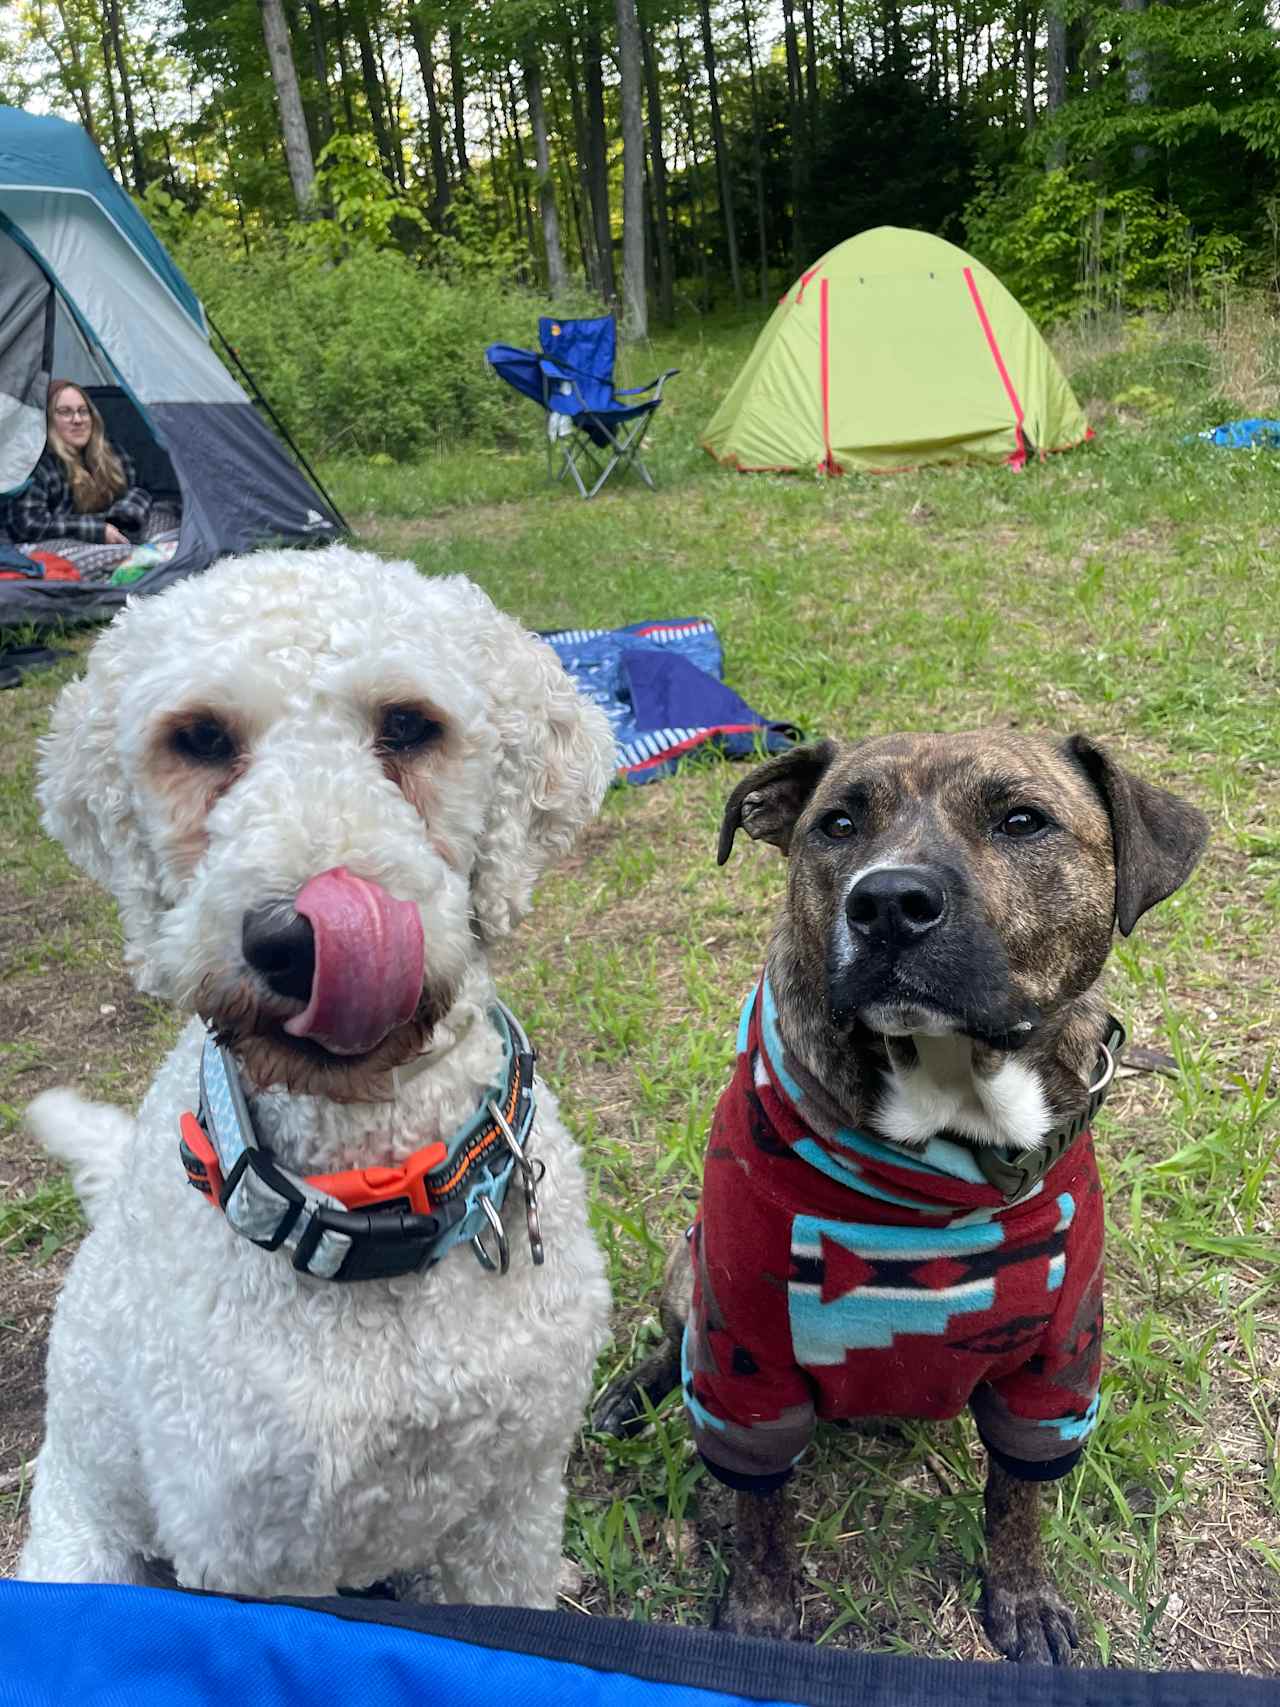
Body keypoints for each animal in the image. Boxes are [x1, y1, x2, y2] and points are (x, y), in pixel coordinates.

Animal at [18, 542, 617, 1597]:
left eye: (409, 723)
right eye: (200, 738)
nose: (297, 940)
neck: (374, 1196)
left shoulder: (511, 1506)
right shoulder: (256, 1557)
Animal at [597, 727, 1208, 1659]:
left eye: (1022, 820)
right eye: (838, 824)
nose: (886, 901)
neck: (953, 1119)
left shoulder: (1057, 1358)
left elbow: (1018, 1493)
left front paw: (1023, 1594)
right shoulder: (747, 1355)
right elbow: (759, 1509)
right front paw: (760, 1614)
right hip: (688, 1262)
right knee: (676, 1340)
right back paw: (633, 1393)